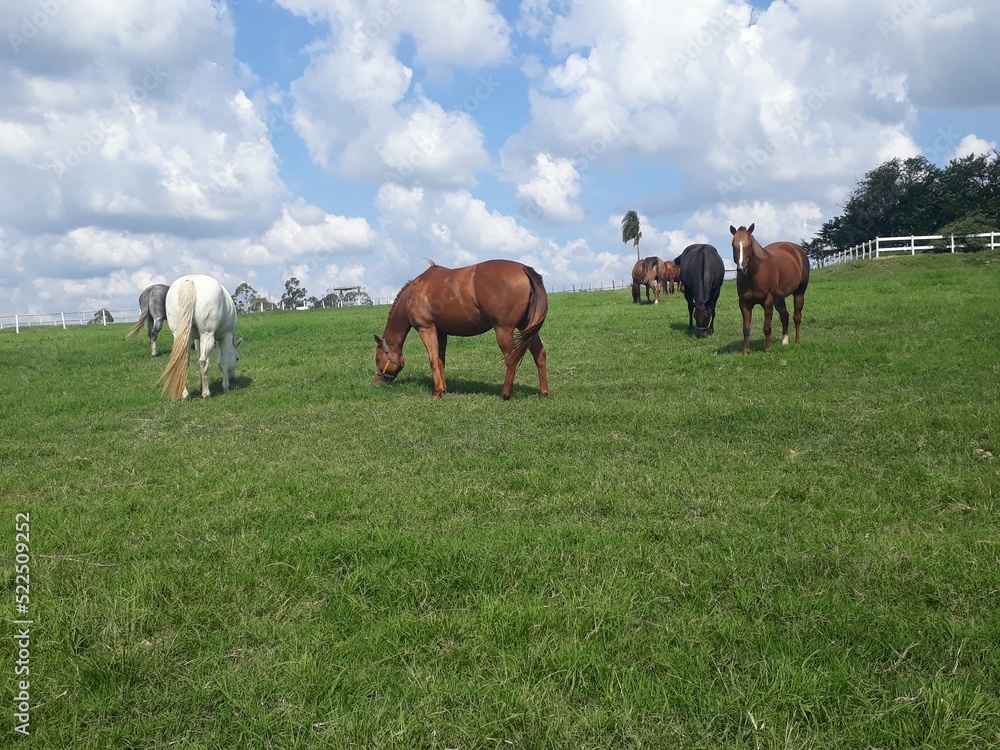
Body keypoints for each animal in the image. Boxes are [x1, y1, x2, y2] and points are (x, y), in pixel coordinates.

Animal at [374, 260, 548, 400]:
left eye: (377, 359)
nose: (377, 383)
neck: (414, 292)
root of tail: (524, 268)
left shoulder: (427, 329)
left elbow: (433, 360)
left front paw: (437, 392)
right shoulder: (441, 333)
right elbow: (440, 360)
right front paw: (444, 388)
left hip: (504, 330)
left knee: (511, 358)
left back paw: (505, 394)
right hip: (526, 328)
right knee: (539, 354)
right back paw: (544, 392)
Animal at [730, 223, 810, 355]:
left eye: (750, 244)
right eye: (733, 245)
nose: (742, 269)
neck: (755, 276)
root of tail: (797, 250)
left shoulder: (767, 302)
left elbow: (767, 327)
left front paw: (767, 350)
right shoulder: (744, 304)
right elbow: (746, 328)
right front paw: (746, 351)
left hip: (799, 293)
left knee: (797, 317)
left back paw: (797, 342)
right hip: (779, 299)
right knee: (785, 316)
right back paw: (784, 340)